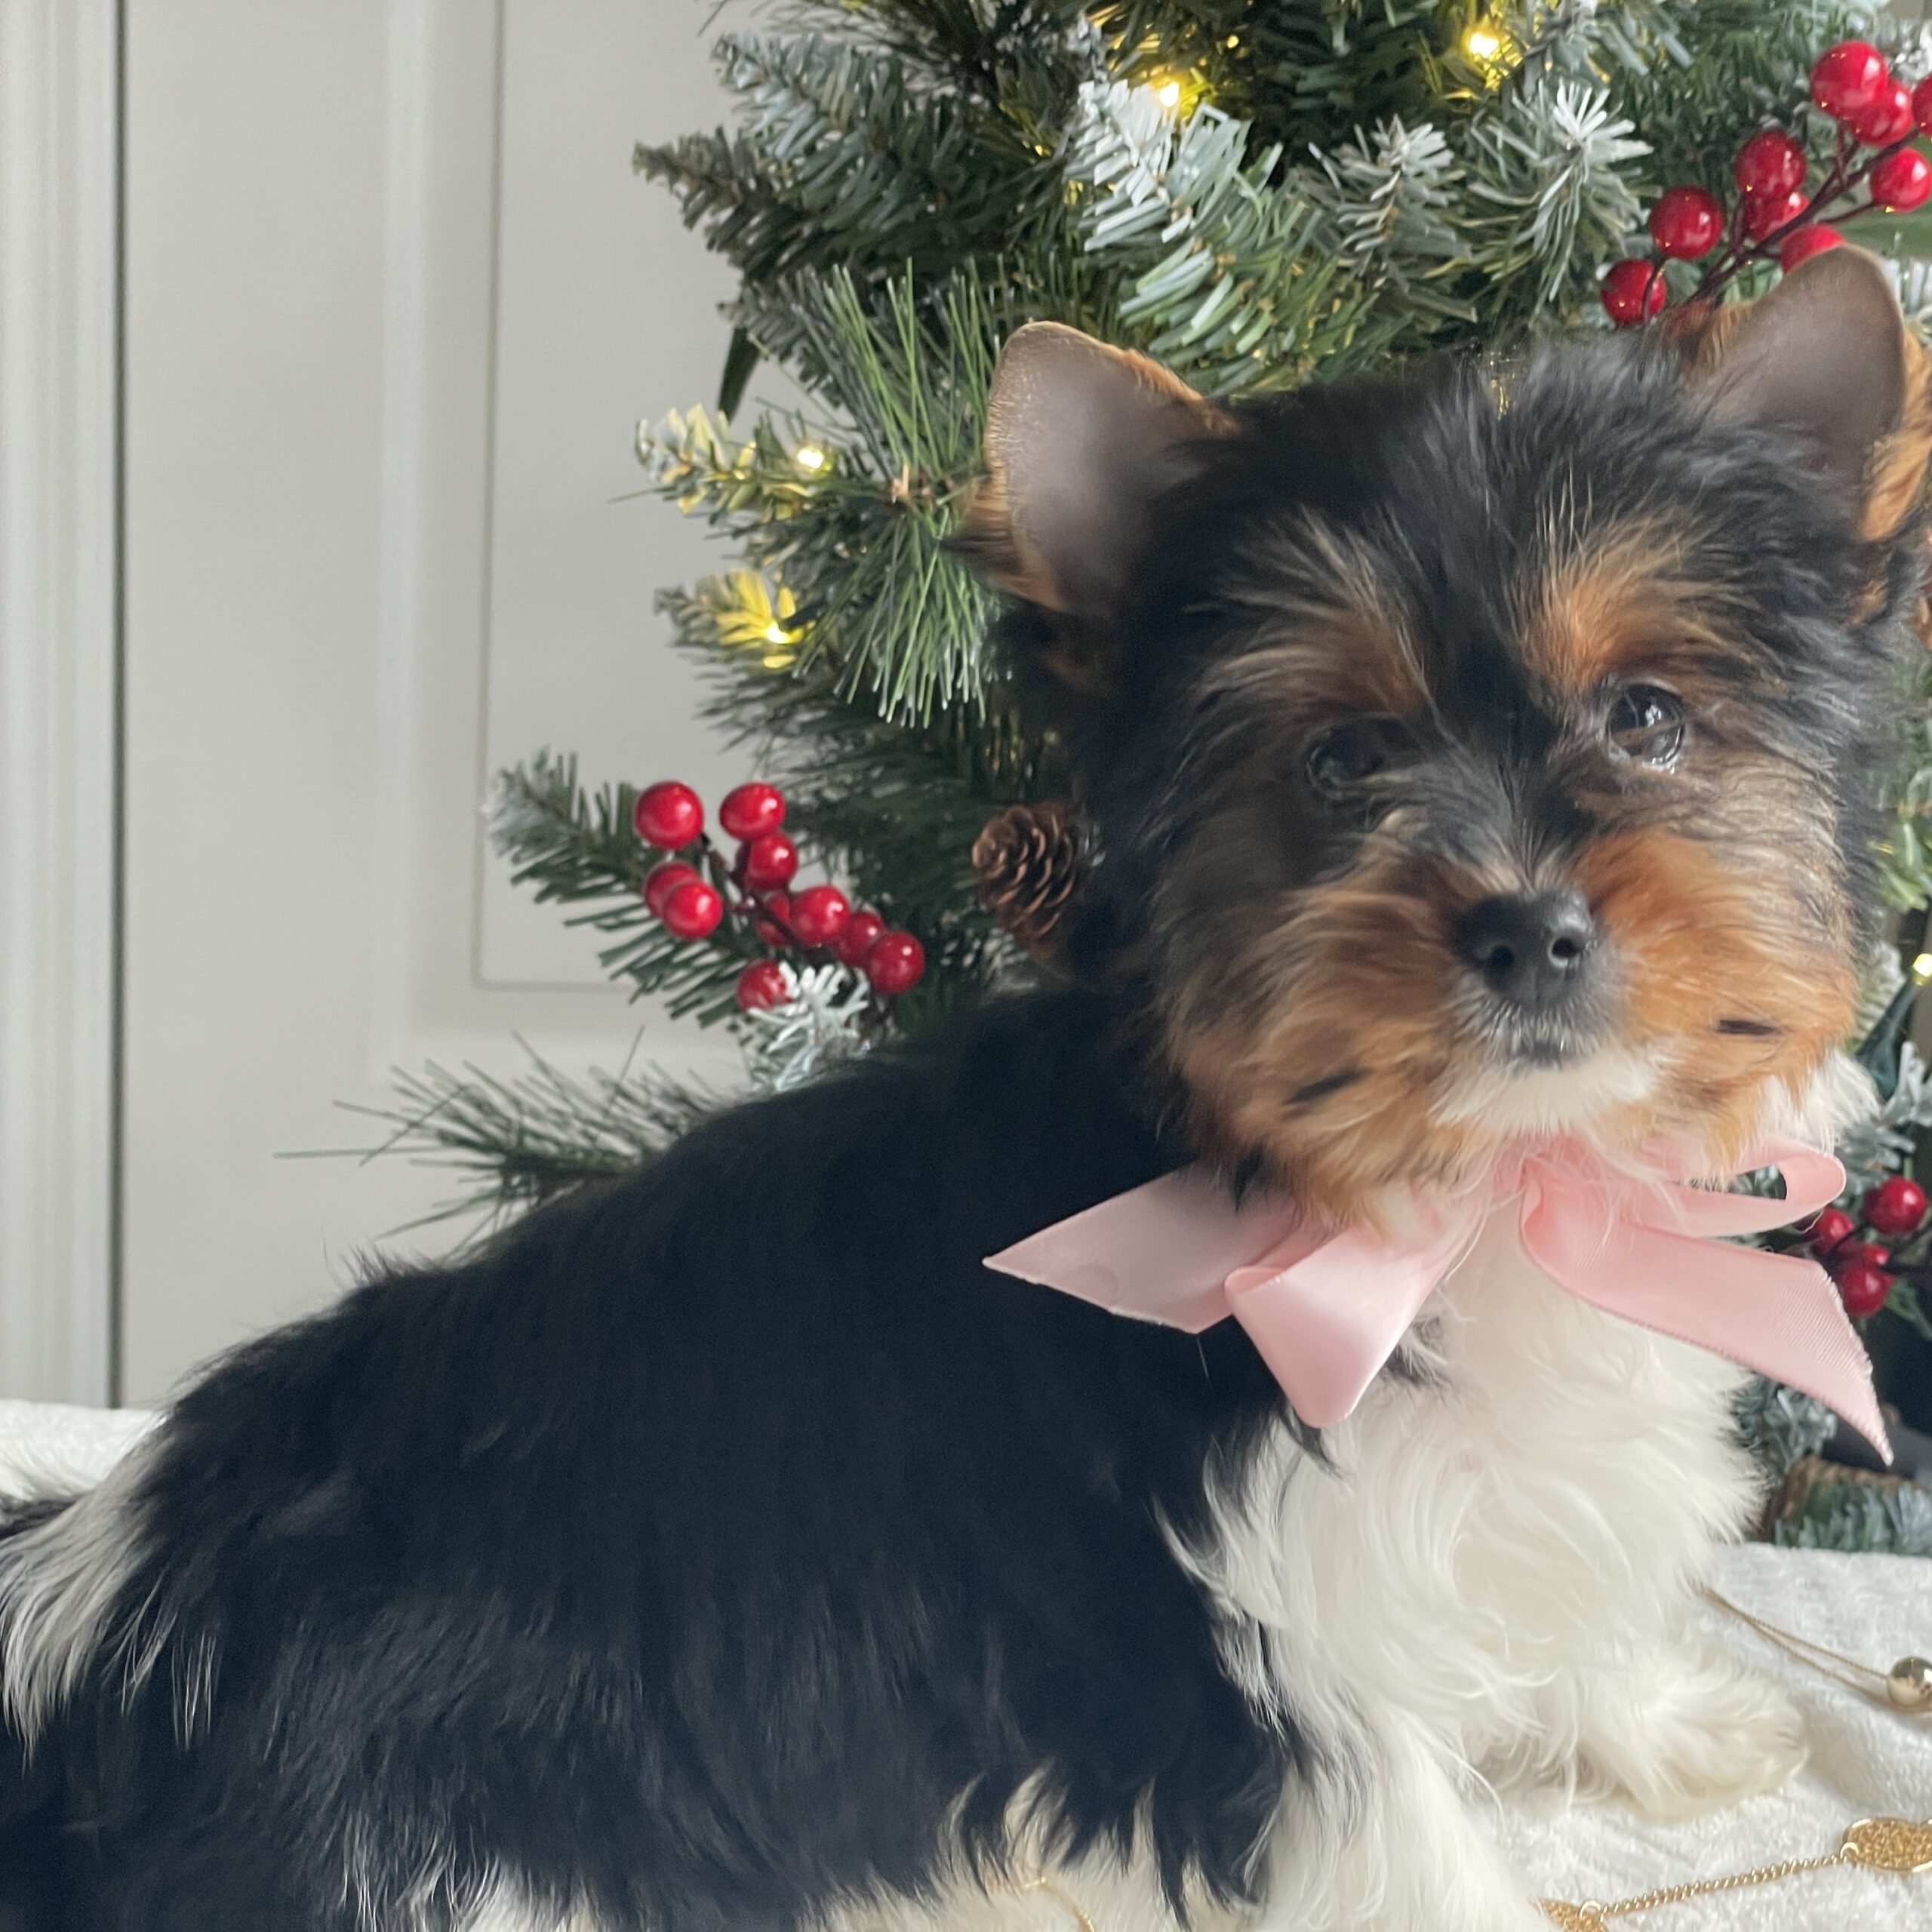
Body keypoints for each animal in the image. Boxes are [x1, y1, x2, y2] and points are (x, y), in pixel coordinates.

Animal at [1, 245, 1927, 1932]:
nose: (1525, 925)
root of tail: (89, 1618)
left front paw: (1655, 1718)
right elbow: (1398, 1839)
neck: (1448, 1186)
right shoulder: (1240, 1643)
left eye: (1647, 713)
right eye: (1337, 759)